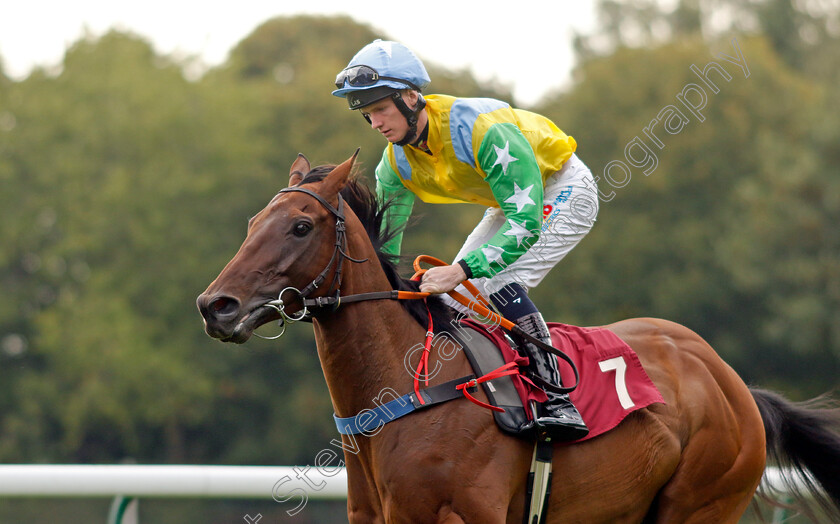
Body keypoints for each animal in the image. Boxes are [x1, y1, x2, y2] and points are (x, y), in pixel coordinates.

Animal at [199, 152, 840, 524]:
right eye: (253, 224)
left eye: (300, 226)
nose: (215, 306)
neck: (407, 391)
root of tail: (734, 383)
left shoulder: (468, 515)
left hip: (701, 502)